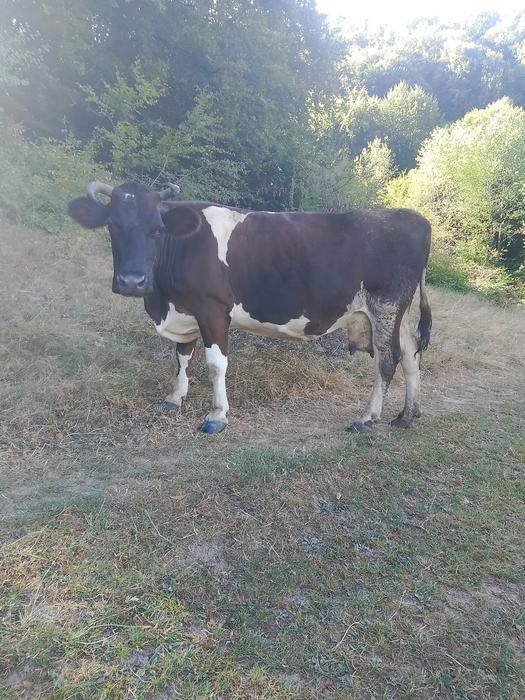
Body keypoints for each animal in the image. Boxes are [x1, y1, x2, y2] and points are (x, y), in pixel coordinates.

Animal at [68, 181, 432, 434]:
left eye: (157, 230)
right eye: (112, 226)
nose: (132, 281)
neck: (162, 301)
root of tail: (416, 219)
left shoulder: (212, 309)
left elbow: (216, 364)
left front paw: (217, 416)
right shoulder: (185, 311)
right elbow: (182, 355)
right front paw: (174, 397)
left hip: (385, 305)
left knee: (387, 361)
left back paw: (367, 418)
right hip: (399, 312)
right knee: (411, 355)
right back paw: (406, 416)